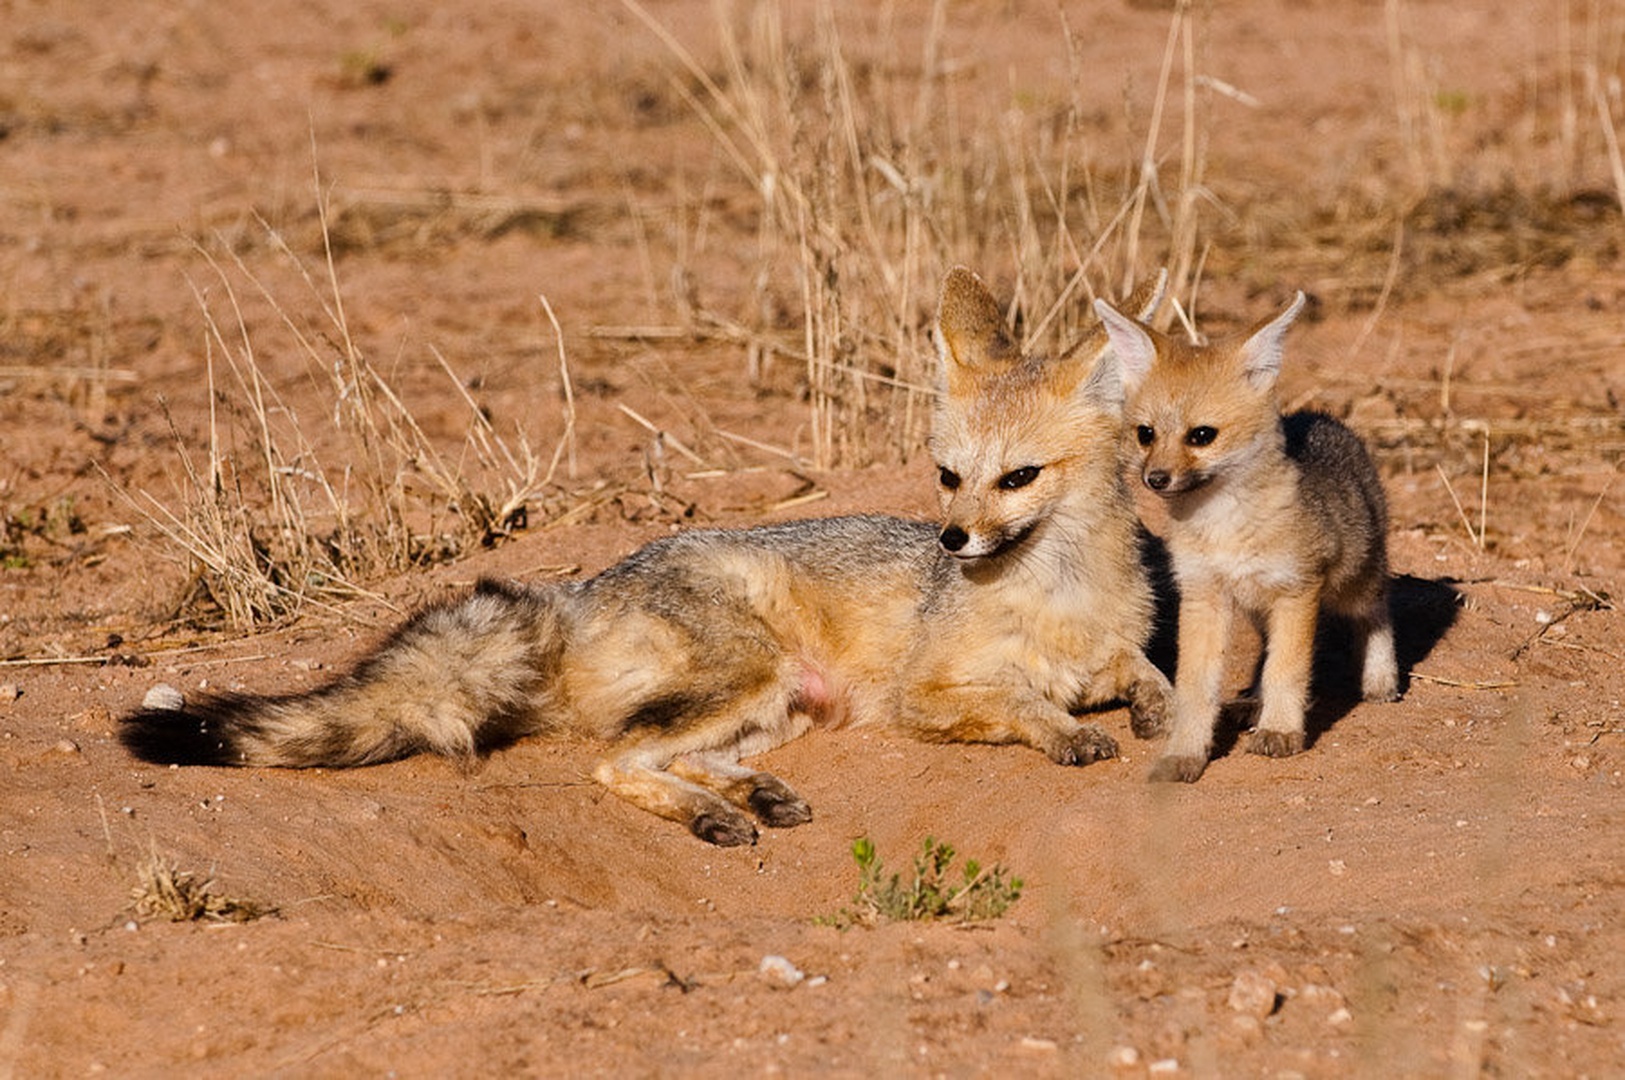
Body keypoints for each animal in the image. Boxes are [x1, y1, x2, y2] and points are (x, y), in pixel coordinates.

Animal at [119, 266, 1173, 845]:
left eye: (1018, 478)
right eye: (949, 476)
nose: (953, 541)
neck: (1058, 594)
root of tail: (578, 592)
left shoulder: (1107, 646)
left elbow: (1140, 669)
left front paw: (1152, 705)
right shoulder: (926, 695)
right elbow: (1018, 702)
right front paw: (1066, 729)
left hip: (778, 706)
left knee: (667, 753)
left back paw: (745, 796)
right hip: (751, 675)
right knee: (614, 760)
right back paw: (714, 813)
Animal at [1093, 291, 1399, 783]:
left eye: (1201, 436)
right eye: (1146, 434)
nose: (1155, 478)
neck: (1224, 531)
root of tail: (1318, 415)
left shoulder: (1298, 590)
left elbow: (1286, 670)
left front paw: (1280, 729)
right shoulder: (1203, 594)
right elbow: (1197, 685)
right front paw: (1186, 751)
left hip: (1351, 583)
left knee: (1378, 607)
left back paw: (1380, 680)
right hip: (1257, 608)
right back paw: (1253, 702)